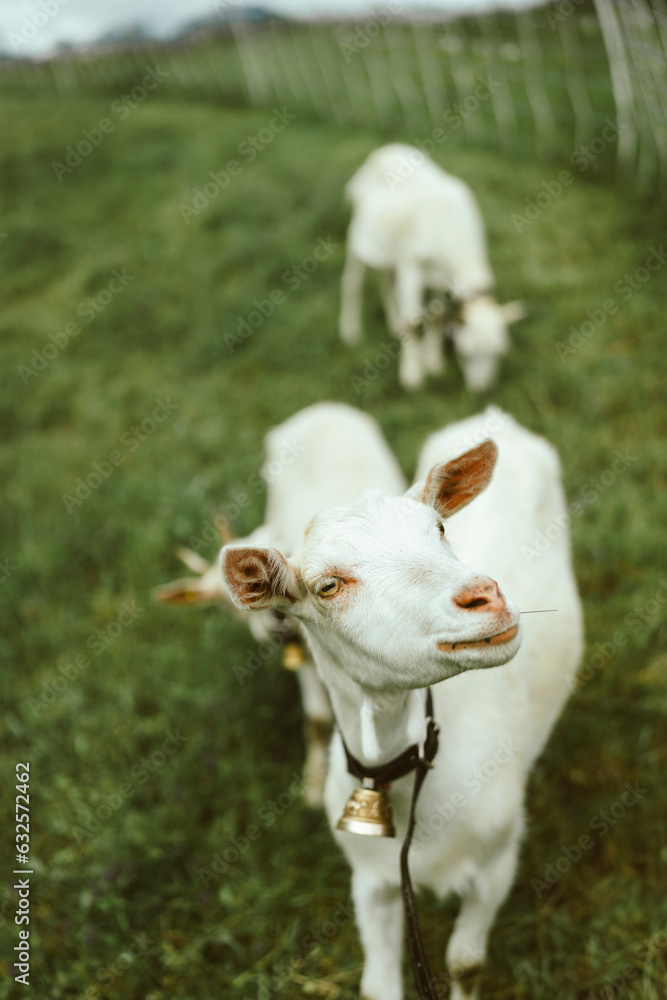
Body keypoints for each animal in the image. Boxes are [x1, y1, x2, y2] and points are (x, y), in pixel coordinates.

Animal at [222, 407, 583, 999]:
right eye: (328, 586)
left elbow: (466, 962)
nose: (485, 596)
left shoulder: (497, 860)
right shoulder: (372, 879)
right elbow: (378, 985)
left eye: (439, 528)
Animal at [339, 143, 525, 392]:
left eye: (500, 352)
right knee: (353, 281)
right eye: (465, 352)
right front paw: (412, 375)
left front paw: (434, 363)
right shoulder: (411, 265)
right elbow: (413, 321)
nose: (482, 390)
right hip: (359, 232)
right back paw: (350, 331)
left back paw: (393, 322)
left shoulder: (440, 276)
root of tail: (384, 149)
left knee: (385, 278)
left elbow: (436, 315)